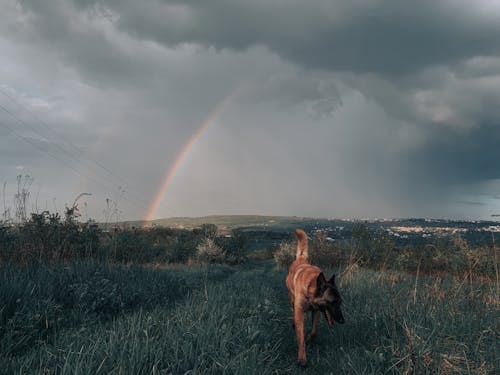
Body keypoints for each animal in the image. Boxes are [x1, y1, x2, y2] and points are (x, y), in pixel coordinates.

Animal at [286, 229, 344, 368]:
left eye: (340, 302)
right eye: (332, 302)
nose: (342, 321)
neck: (310, 285)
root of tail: (301, 258)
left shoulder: (316, 311)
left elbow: (313, 332)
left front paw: (309, 339)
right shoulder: (300, 312)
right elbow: (300, 337)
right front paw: (302, 358)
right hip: (292, 300)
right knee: (292, 310)